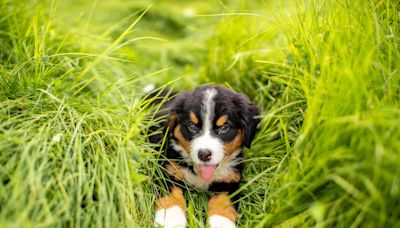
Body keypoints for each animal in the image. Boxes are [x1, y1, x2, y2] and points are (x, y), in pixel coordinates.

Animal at [148, 85, 260, 228]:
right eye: (191, 126)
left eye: (224, 128)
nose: (204, 154)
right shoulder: (167, 171)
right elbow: (171, 196)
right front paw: (170, 220)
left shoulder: (229, 181)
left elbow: (223, 204)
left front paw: (221, 223)